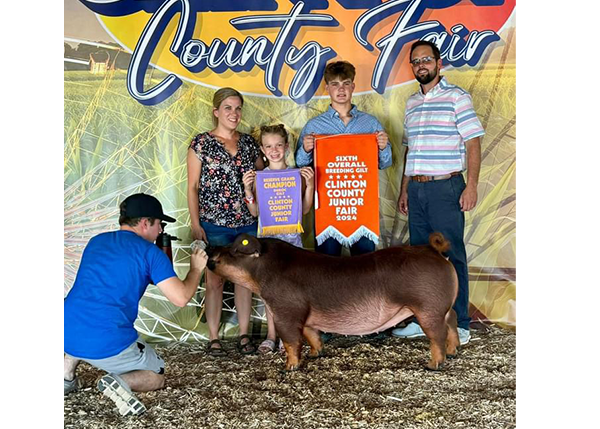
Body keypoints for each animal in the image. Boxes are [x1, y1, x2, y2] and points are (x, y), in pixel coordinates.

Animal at [206, 232, 460, 370]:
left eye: (233, 251)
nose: (210, 248)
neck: (263, 274)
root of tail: (434, 250)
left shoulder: (287, 311)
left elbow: (291, 341)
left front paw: (289, 368)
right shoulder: (308, 316)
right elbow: (312, 336)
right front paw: (315, 355)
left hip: (427, 307)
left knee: (437, 334)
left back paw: (433, 365)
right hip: (443, 307)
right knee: (453, 321)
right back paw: (454, 352)